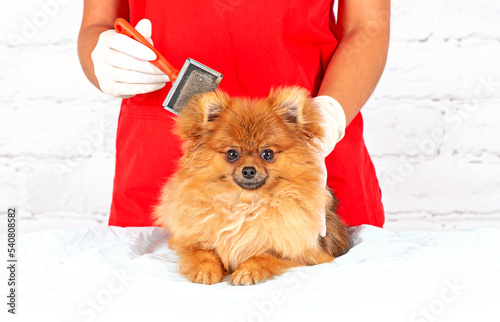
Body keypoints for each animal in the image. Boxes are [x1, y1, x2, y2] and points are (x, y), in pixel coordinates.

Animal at [154, 87, 350, 286]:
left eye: (268, 154)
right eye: (232, 154)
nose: (249, 170)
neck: (245, 203)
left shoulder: (302, 252)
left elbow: (264, 256)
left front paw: (247, 271)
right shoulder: (191, 241)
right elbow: (203, 253)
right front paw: (205, 271)